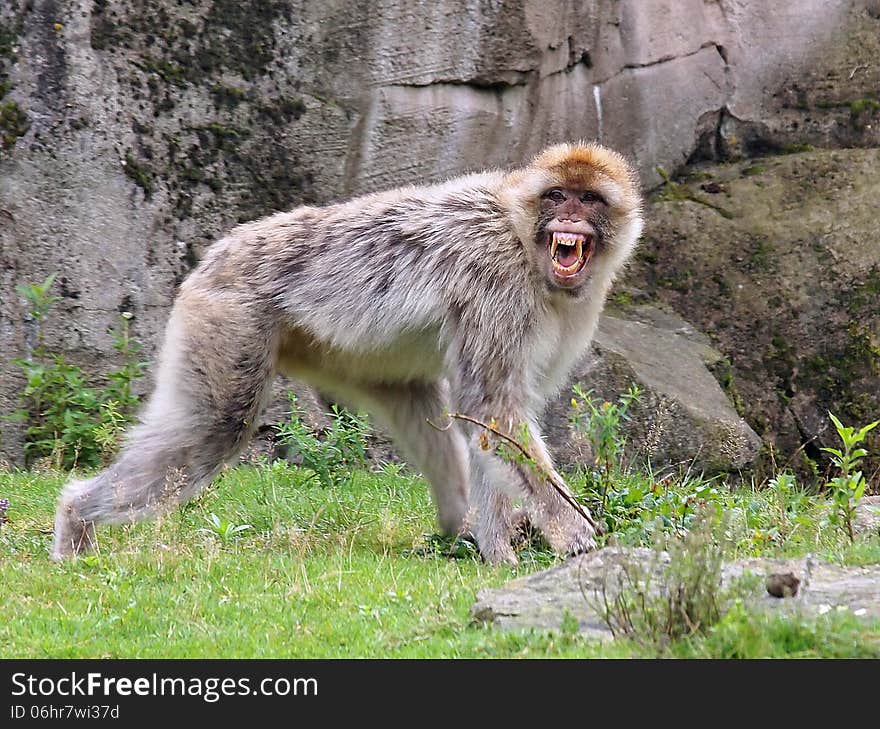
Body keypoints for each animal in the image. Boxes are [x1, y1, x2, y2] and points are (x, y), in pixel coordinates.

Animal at [51, 141, 644, 564]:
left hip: (338, 354)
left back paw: (461, 527)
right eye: (557, 196)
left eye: (590, 199)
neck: (525, 243)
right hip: (226, 320)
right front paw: (573, 534)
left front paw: (501, 554)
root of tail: (214, 255)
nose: (570, 219)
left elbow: (489, 421)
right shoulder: (495, 285)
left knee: (417, 399)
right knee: (214, 425)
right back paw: (77, 521)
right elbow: (492, 409)